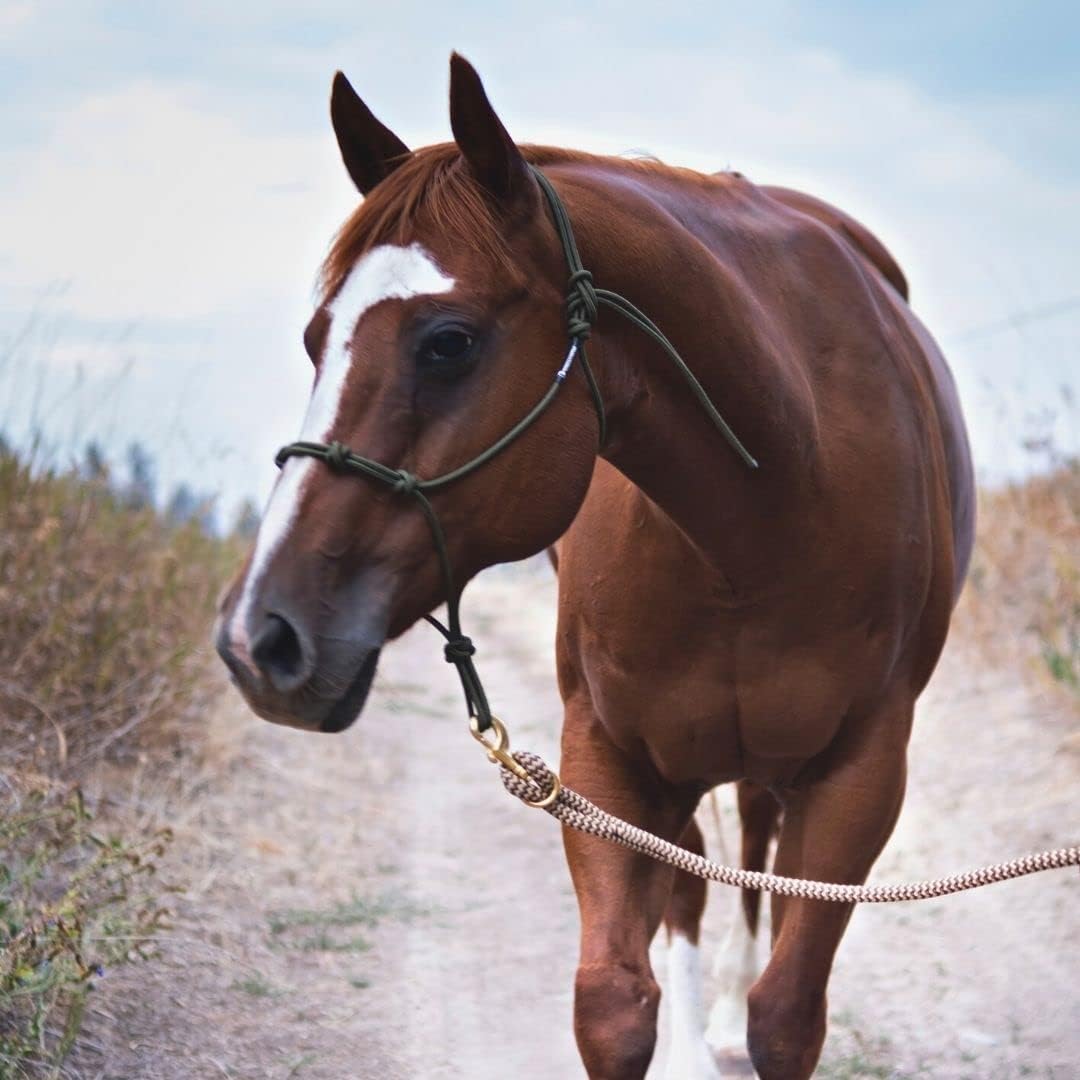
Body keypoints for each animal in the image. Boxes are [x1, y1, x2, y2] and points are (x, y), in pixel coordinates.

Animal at [215, 54, 975, 1079]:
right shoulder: (609, 760)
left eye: (448, 341)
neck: (769, 509)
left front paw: (744, 1011)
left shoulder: (860, 776)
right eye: (314, 340)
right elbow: (614, 1002)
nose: (261, 638)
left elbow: (786, 1011)